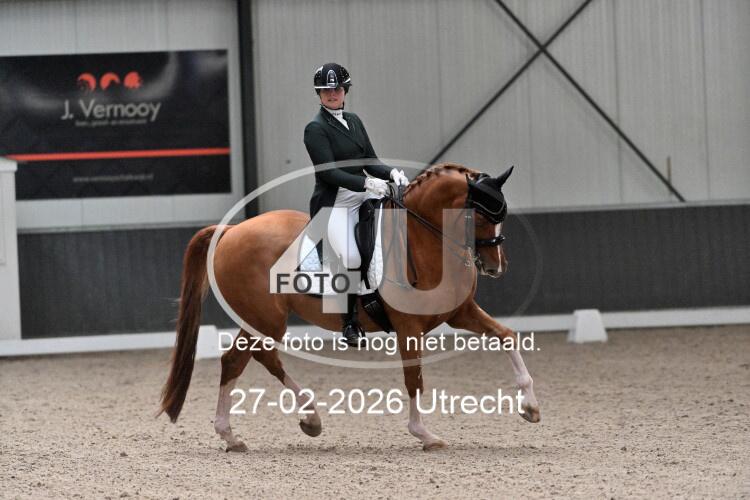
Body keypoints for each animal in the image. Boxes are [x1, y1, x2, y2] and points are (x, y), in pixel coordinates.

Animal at [159, 162, 540, 451]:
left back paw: (292, 423)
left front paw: (531, 407)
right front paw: (425, 435)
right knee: (244, 359)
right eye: (480, 218)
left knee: (247, 359)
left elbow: (506, 336)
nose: (495, 267)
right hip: (266, 318)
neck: (422, 239)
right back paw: (247, 431)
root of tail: (231, 231)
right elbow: (414, 379)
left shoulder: (460, 313)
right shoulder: (409, 327)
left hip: (260, 319)